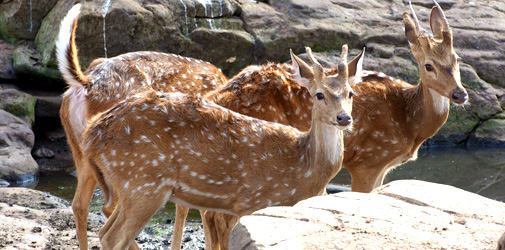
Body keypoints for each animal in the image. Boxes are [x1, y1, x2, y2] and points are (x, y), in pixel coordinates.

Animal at [57, 4, 226, 250]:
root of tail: (85, 83)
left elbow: (184, 206)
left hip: (80, 148)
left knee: (79, 204)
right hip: (126, 156)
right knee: (110, 208)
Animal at [83, 45, 354, 250]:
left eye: (350, 93)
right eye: (319, 94)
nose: (344, 118)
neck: (304, 165)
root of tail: (92, 135)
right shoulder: (250, 200)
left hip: (129, 186)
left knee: (104, 231)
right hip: (143, 182)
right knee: (113, 237)